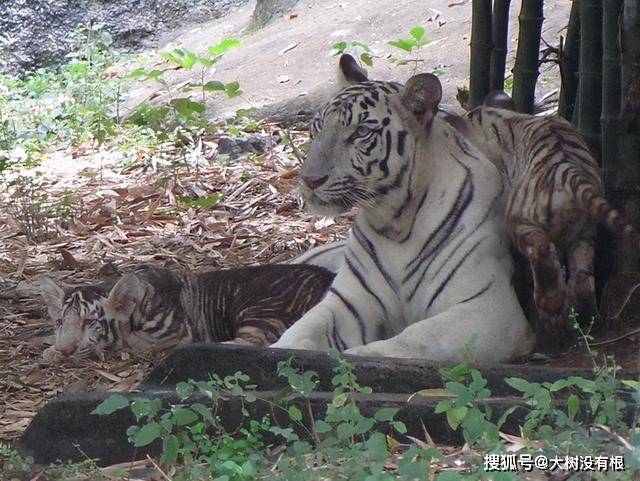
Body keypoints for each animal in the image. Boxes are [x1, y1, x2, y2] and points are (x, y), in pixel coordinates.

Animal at [272, 56, 536, 362]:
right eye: (317, 128)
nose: (309, 179)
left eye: (361, 132)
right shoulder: (348, 301)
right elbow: (306, 327)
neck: (395, 222)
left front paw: (357, 356)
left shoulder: (488, 307)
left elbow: (416, 340)